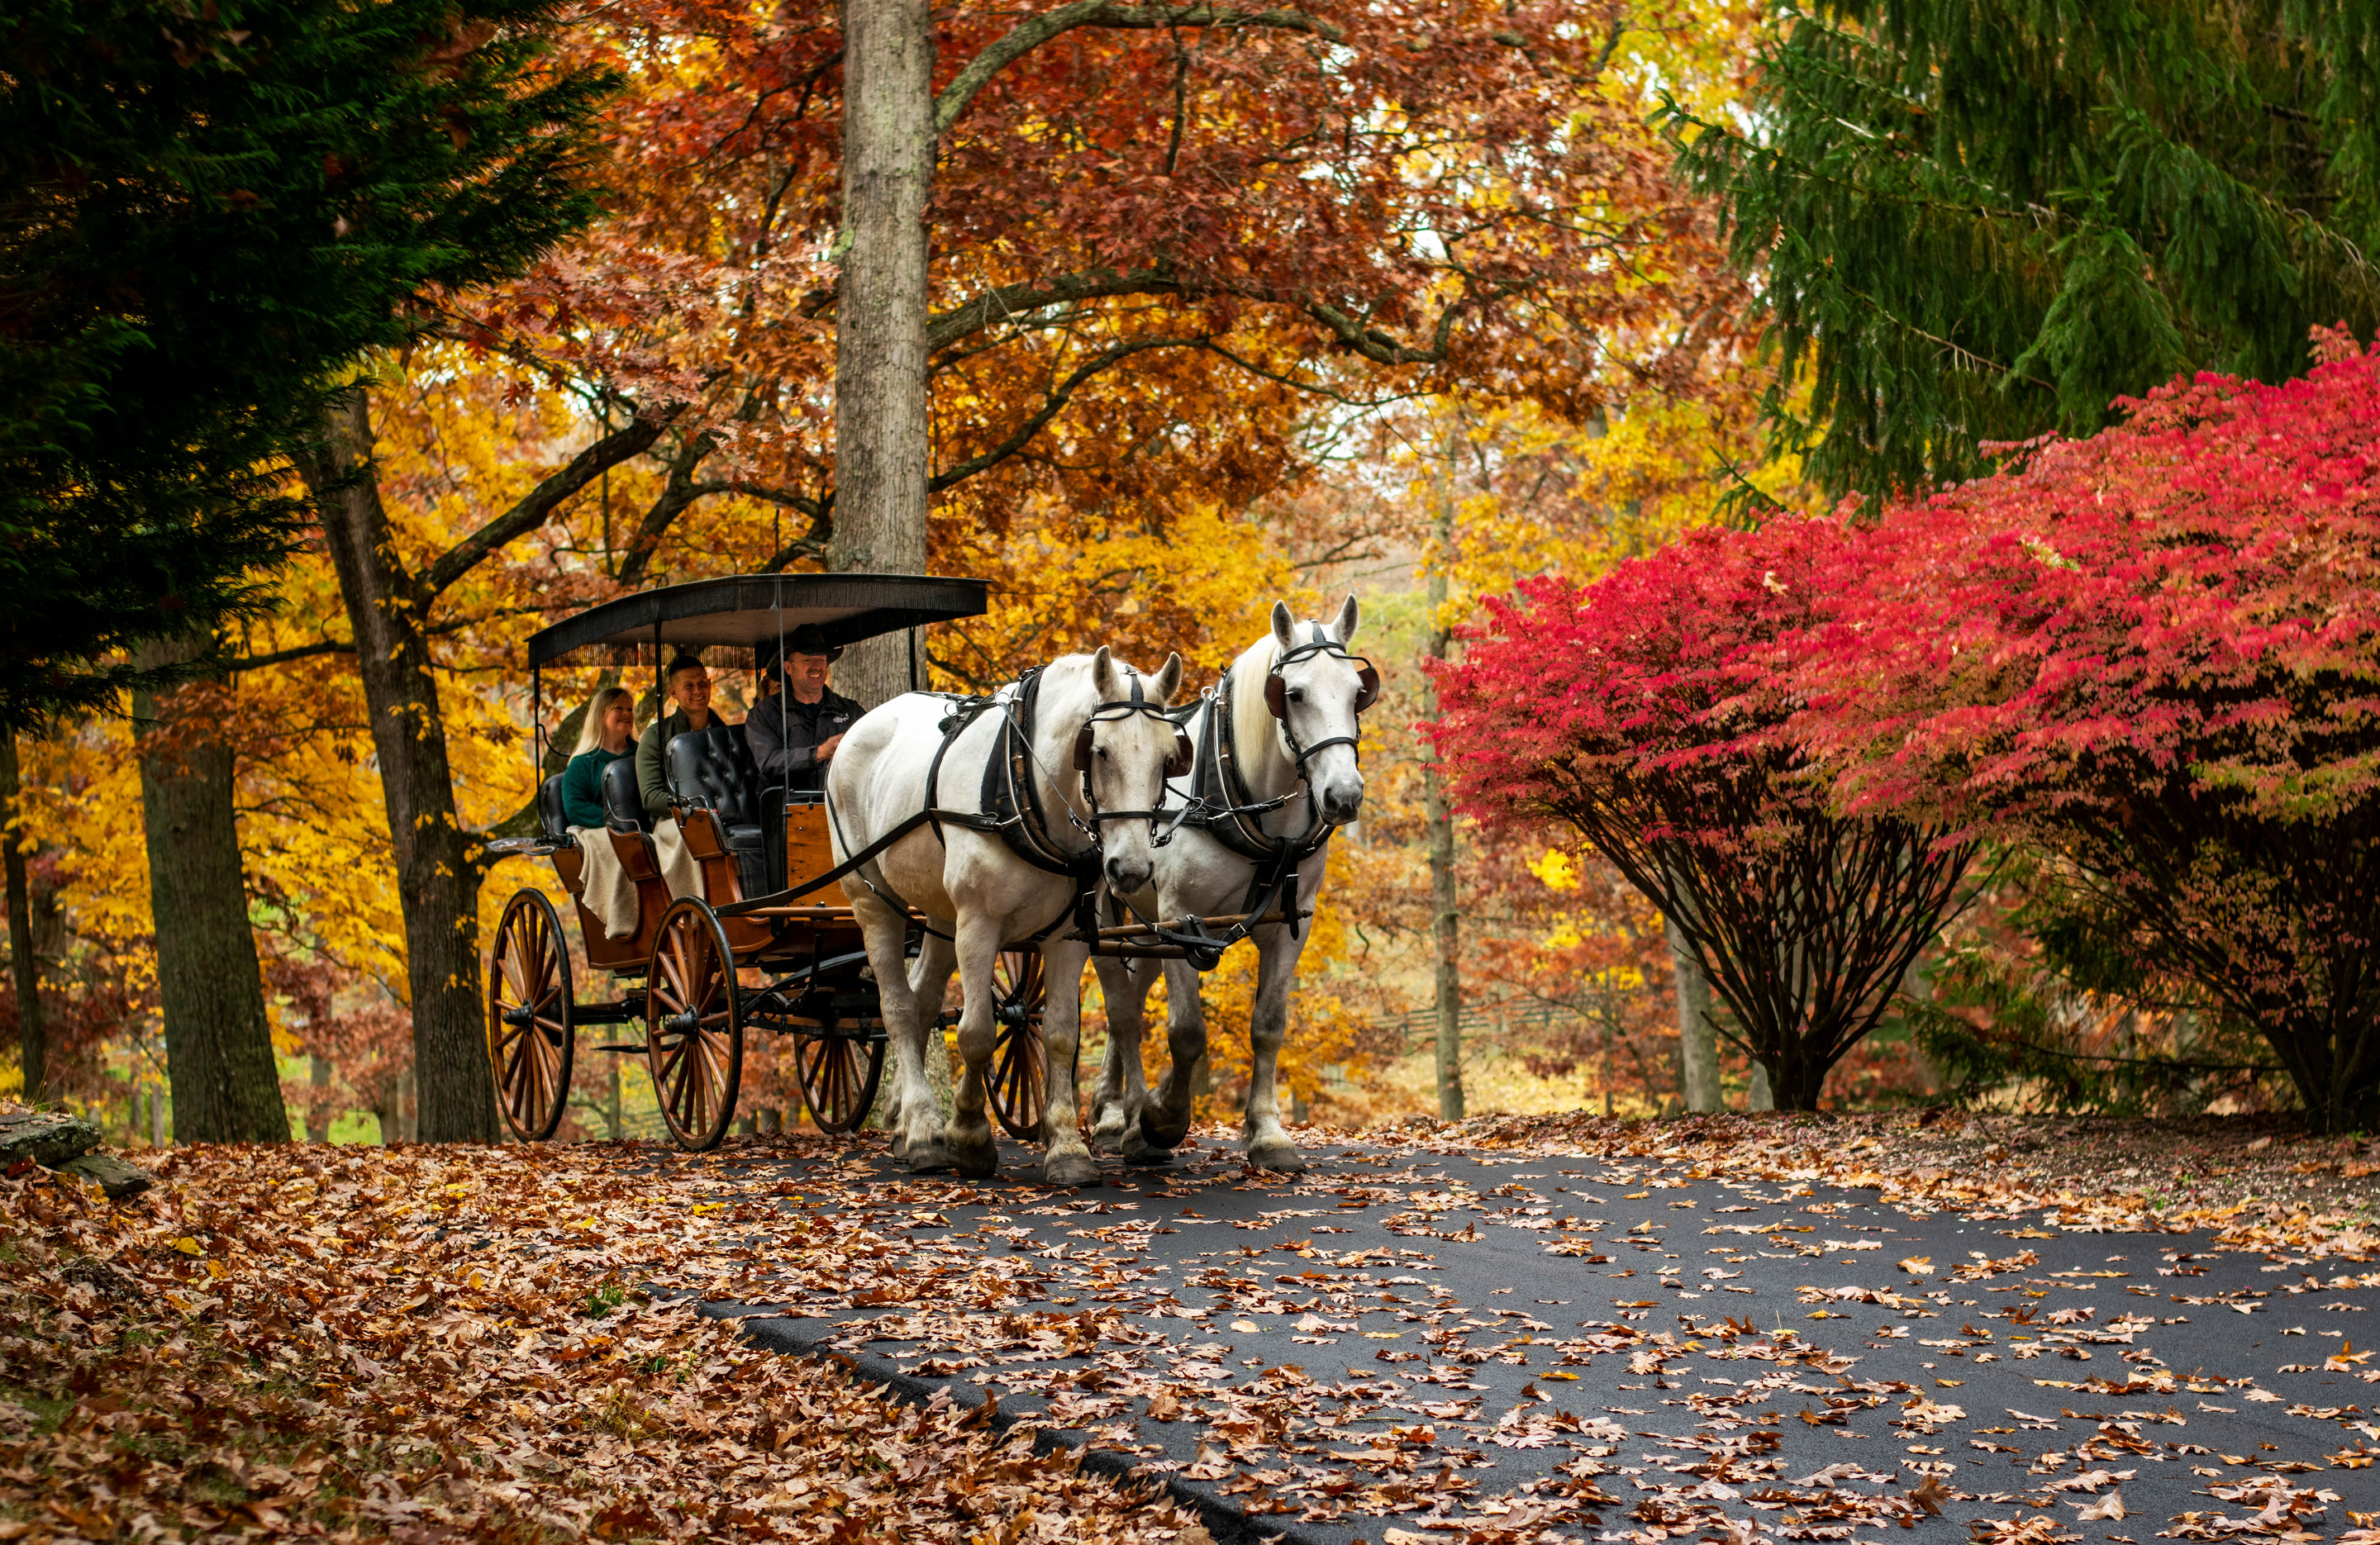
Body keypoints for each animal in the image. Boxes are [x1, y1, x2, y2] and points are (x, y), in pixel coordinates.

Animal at [827, 647, 1187, 1183]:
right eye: (1099, 751)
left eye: (1168, 758)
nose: (1131, 868)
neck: (1025, 787)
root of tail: (862, 725)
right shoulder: (978, 925)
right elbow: (975, 1033)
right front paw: (969, 1135)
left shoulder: (1068, 936)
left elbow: (1060, 1034)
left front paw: (1066, 1148)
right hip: (872, 900)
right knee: (897, 1007)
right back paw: (924, 1134)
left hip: (941, 915)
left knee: (922, 999)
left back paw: (906, 1126)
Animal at [1088, 596, 1373, 1172]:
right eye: (1293, 694)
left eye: (1359, 692)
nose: (1344, 795)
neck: (1244, 800)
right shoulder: (1180, 917)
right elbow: (1186, 1032)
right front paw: (1161, 1119)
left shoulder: (1290, 924)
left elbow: (1269, 1024)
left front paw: (1267, 1133)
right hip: (1113, 909)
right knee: (1121, 1007)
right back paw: (1123, 1123)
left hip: (1147, 928)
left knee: (1132, 994)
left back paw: (1113, 1113)